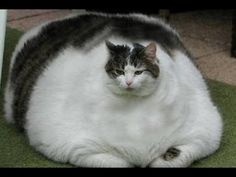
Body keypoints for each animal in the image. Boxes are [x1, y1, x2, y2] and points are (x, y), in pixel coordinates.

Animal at [3, 12, 222, 167]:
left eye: (139, 71)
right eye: (118, 71)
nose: (128, 81)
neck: (136, 108)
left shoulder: (205, 132)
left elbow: (173, 160)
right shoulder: (68, 144)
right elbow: (117, 162)